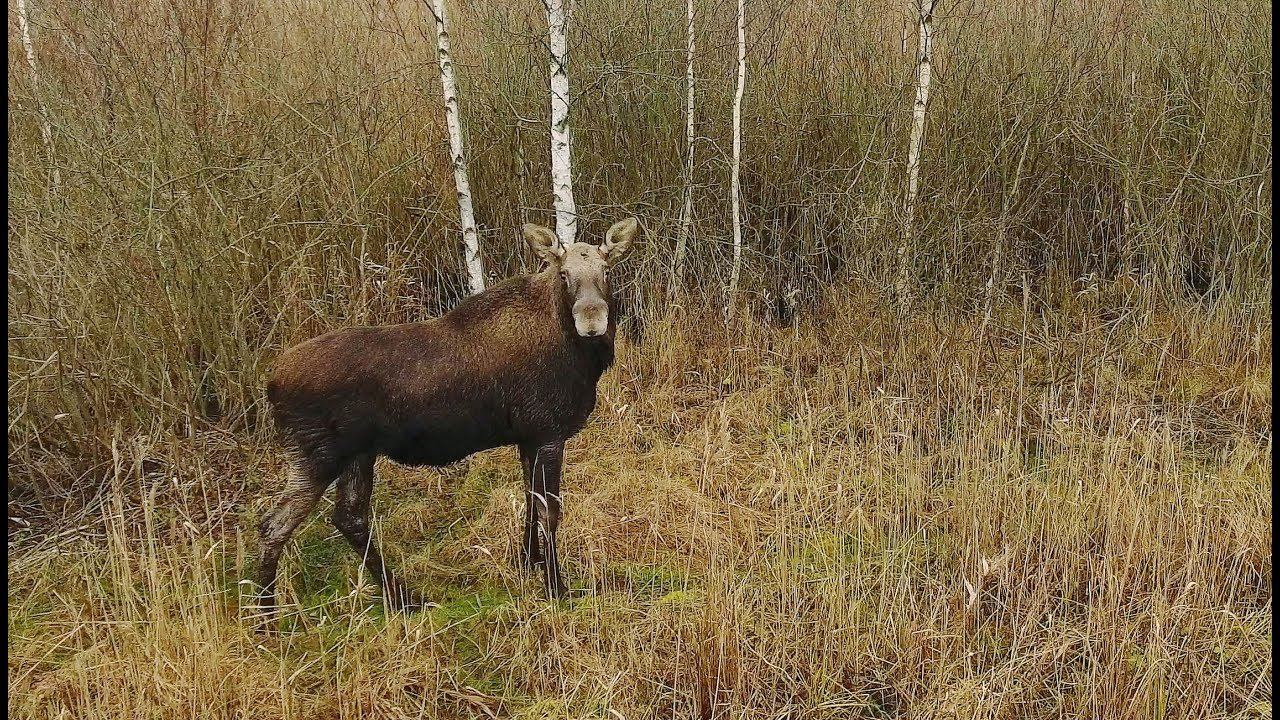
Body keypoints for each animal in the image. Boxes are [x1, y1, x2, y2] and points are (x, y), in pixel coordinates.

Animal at [254, 218, 639, 613]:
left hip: (357, 455)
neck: (583, 358)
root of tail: (271, 384)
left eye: (606, 271)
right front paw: (556, 588)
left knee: (349, 518)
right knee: (274, 525)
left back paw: (403, 599)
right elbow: (550, 511)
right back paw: (266, 613)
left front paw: (528, 561)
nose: (592, 323)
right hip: (316, 456)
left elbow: (530, 501)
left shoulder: (529, 437)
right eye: (564, 274)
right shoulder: (549, 432)